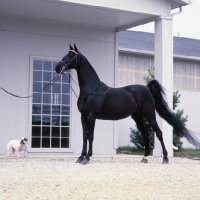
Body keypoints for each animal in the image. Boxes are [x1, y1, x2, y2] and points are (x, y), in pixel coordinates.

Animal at [55, 43, 200, 164]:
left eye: (71, 55)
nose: (57, 68)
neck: (92, 90)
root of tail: (147, 88)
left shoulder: (91, 116)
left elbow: (90, 135)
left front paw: (87, 158)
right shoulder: (83, 116)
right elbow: (85, 136)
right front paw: (80, 157)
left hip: (150, 115)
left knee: (159, 133)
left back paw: (165, 158)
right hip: (137, 117)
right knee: (146, 134)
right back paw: (144, 157)